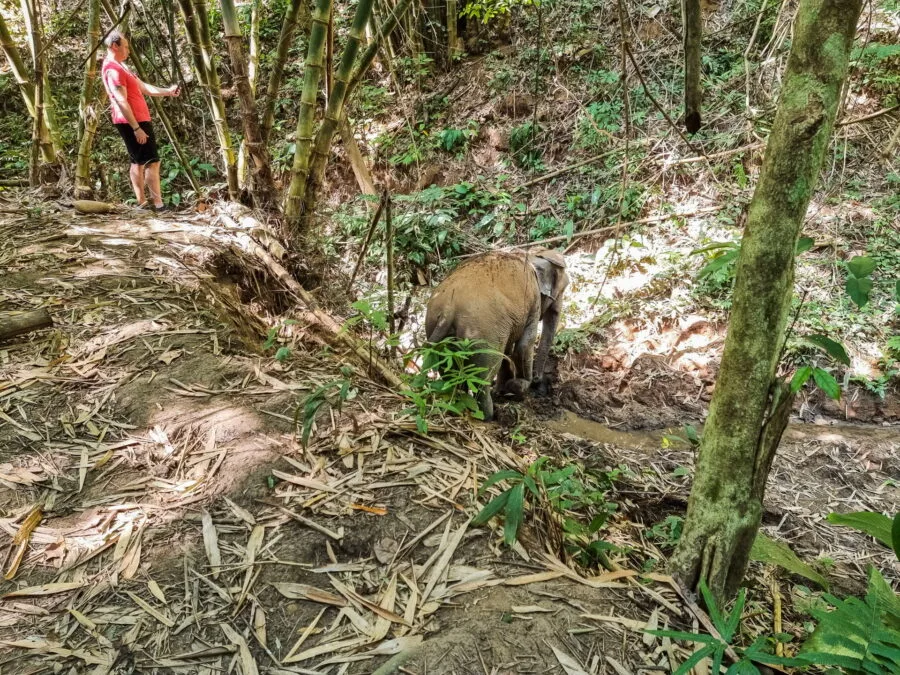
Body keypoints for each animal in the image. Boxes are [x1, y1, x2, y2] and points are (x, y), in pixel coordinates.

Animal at [424, 247, 569, 421]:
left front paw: (502, 389)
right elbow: (525, 345)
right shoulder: (533, 301)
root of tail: (448, 309)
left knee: (450, 373)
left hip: (440, 334)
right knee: (482, 377)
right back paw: (488, 415)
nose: (538, 381)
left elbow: (507, 349)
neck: (532, 255)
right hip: (482, 335)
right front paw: (519, 386)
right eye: (562, 291)